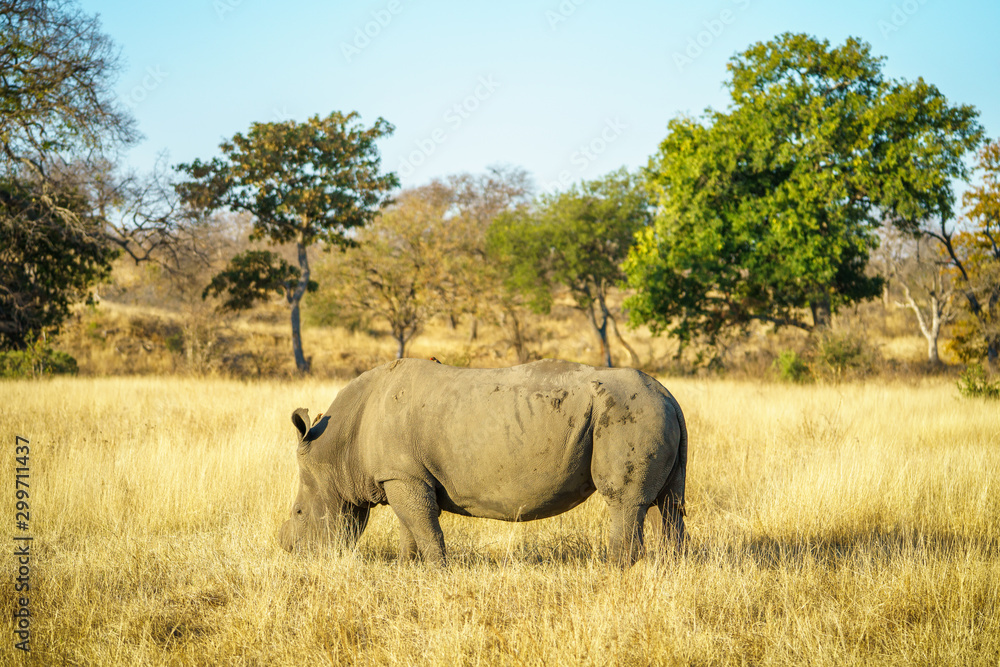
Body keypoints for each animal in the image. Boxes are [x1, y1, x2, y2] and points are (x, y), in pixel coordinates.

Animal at [278, 358, 687, 566]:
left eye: (298, 513)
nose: (287, 549)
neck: (337, 451)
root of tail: (669, 395)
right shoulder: (402, 476)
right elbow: (410, 527)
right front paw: (409, 568)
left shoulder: (402, 476)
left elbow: (424, 527)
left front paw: (437, 573)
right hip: (654, 411)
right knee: (667, 503)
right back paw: (670, 569)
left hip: (627, 412)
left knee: (624, 501)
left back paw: (614, 572)